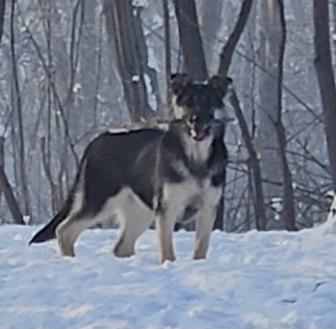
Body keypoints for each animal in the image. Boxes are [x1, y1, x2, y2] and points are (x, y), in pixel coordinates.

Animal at [29, 73, 231, 262]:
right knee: (64, 231)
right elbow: (167, 250)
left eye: (209, 102)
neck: (196, 157)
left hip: (139, 212)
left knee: (120, 247)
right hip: (100, 200)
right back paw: (70, 260)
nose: (196, 120)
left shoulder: (208, 209)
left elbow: (201, 248)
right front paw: (169, 264)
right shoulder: (167, 208)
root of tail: (96, 141)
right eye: (189, 102)